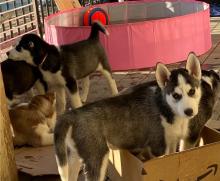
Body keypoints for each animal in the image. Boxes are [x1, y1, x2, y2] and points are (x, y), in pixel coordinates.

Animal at [53, 52, 203, 181]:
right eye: (176, 95)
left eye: (192, 91)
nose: (189, 112)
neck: (167, 109)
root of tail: (72, 114)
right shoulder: (158, 148)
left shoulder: (171, 143)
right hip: (97, 157)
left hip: (73, 157)